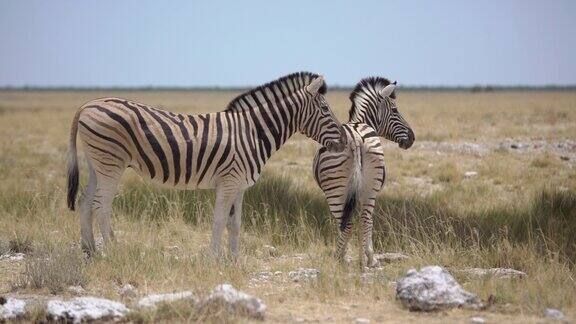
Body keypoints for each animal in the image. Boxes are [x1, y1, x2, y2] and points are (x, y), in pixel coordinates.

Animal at [67, 72, 346, 256]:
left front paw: (234, 261)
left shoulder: (240, 186)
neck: (253, 132)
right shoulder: (229, 181)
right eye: (325, 109)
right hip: (111, 164)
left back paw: (90, 250)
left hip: (97, 164)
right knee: (101, 206)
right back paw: (114, 251)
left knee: (85, 202)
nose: (344, 141)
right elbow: (219, 221)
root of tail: (87, 103)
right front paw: (214, 259)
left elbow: (235, 224)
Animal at [312, 77, 412, 268]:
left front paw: (349, 255)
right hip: (370, 187)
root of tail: (356, 137)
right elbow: (365, 221)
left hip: (336, 191)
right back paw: (369, 259)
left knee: (346, 224)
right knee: (366, 219)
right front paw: (363, 256)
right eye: (395, 110)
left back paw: (339, 257)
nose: (412, 138)